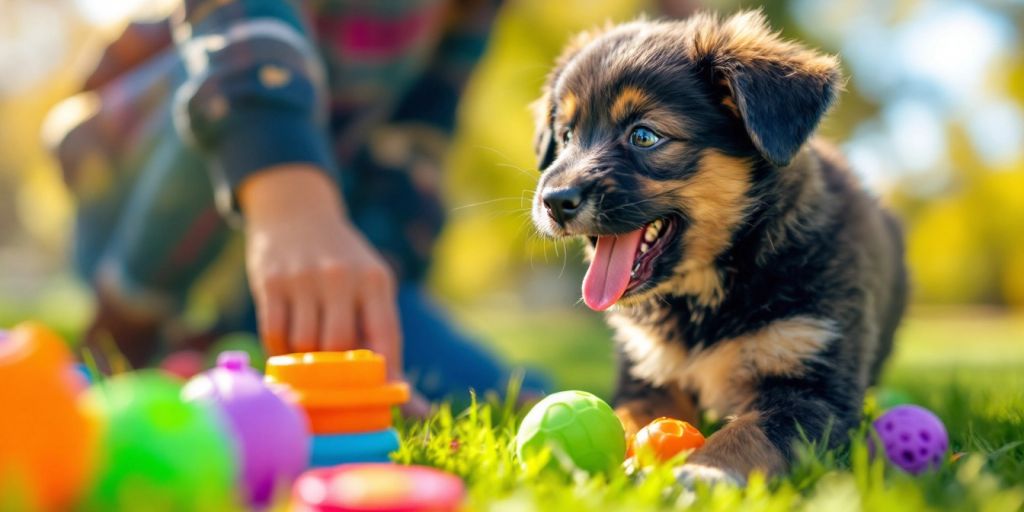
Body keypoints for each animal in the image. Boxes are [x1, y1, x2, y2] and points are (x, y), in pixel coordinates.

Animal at [532, 11, 909, 483]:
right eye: (566, 136)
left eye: (644, 136)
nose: (554, 201)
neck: (705, 295)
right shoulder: (648, 373)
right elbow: (627, 419)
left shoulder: (812, 384)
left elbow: (748, 431)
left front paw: (704, 473)